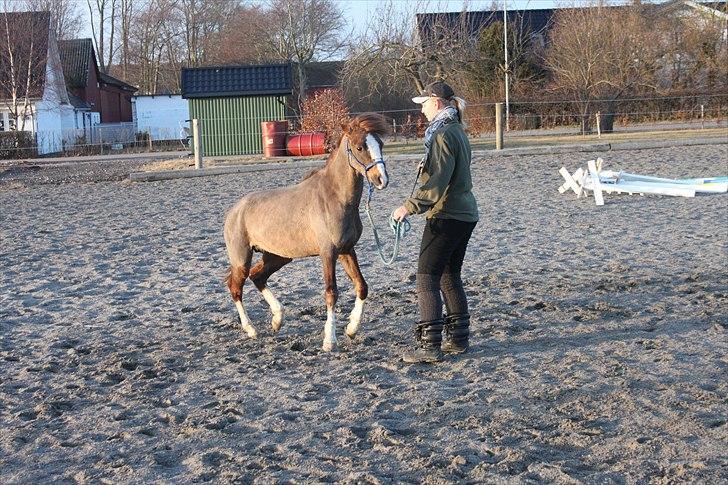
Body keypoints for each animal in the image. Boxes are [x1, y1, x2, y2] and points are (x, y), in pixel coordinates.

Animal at [223, 113, 390, 351]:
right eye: (359, 147)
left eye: (381, 144)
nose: (382, 179)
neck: (335, 198)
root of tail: (235, 210)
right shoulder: (328, 253)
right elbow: (331, 293)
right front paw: (329, 340)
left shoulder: (347, 250)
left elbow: (362, 286)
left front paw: (351, 329)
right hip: (241, 260)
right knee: (236, 288)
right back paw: (251, 329)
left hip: (278, 257)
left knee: (258, 277)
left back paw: (277, 320)